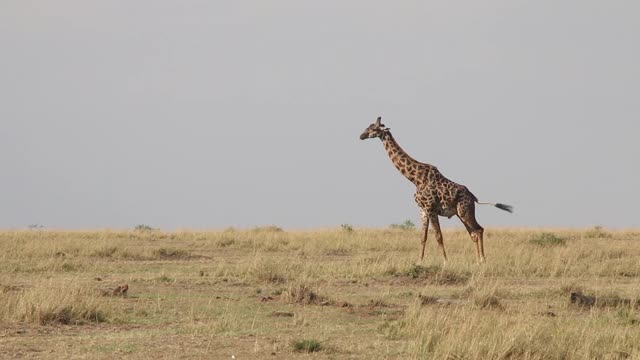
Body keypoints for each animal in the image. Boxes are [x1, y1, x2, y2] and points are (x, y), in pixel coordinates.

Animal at [358, 117, 512, 262]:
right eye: (368, 126)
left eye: (374, 128)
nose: (361, 136)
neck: (415, 178)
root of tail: (473, 197)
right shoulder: (422, 210)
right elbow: (423, 237)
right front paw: (419, 262)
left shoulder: (431, 208)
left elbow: (438, 236)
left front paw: (445, 262)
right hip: (460, 213)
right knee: (473, 233)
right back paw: (477, 261)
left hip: (464, 211)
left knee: (479, 229)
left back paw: (482, 260)